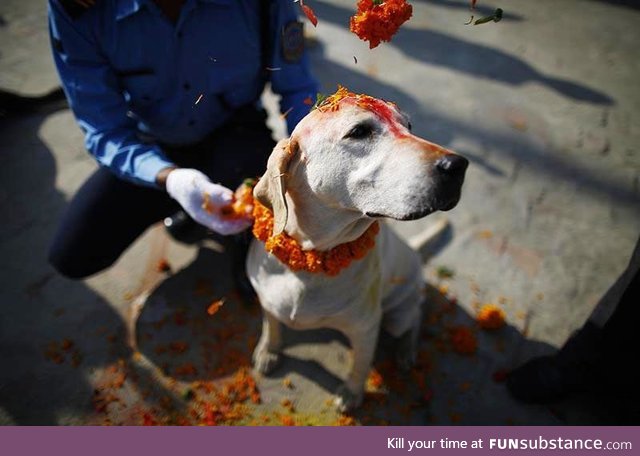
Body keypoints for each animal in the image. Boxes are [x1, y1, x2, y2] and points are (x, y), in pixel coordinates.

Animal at [245, 89, 464, 410]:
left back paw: (406, 351)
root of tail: (412, 252)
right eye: (360, 131)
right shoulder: (267, 300)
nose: (458, 166)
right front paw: (268, 350)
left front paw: (352, 392)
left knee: (415, 317)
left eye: (409, 126)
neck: (311, 258)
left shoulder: (366, 328)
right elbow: (271, 324)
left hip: (397, 316)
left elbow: (360, 363)